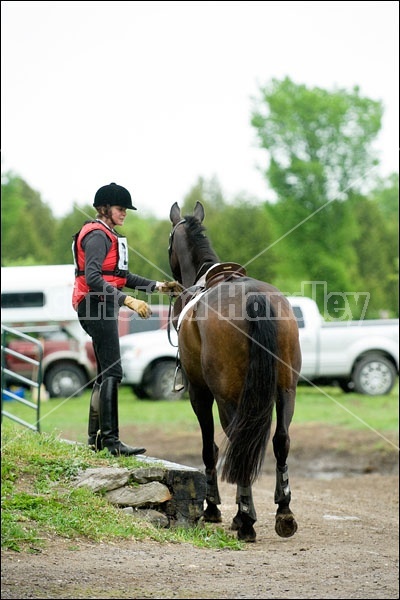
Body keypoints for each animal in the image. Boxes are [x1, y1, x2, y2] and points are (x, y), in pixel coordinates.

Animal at [167, 202, 302, 544]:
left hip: (228, 396)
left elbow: (208, 448)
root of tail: (253, 297)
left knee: (237, 443)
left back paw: (245, 519)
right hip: (286, 390)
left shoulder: (199, 393)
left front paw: (213, 507)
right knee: (281, 440)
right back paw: (284, 512)